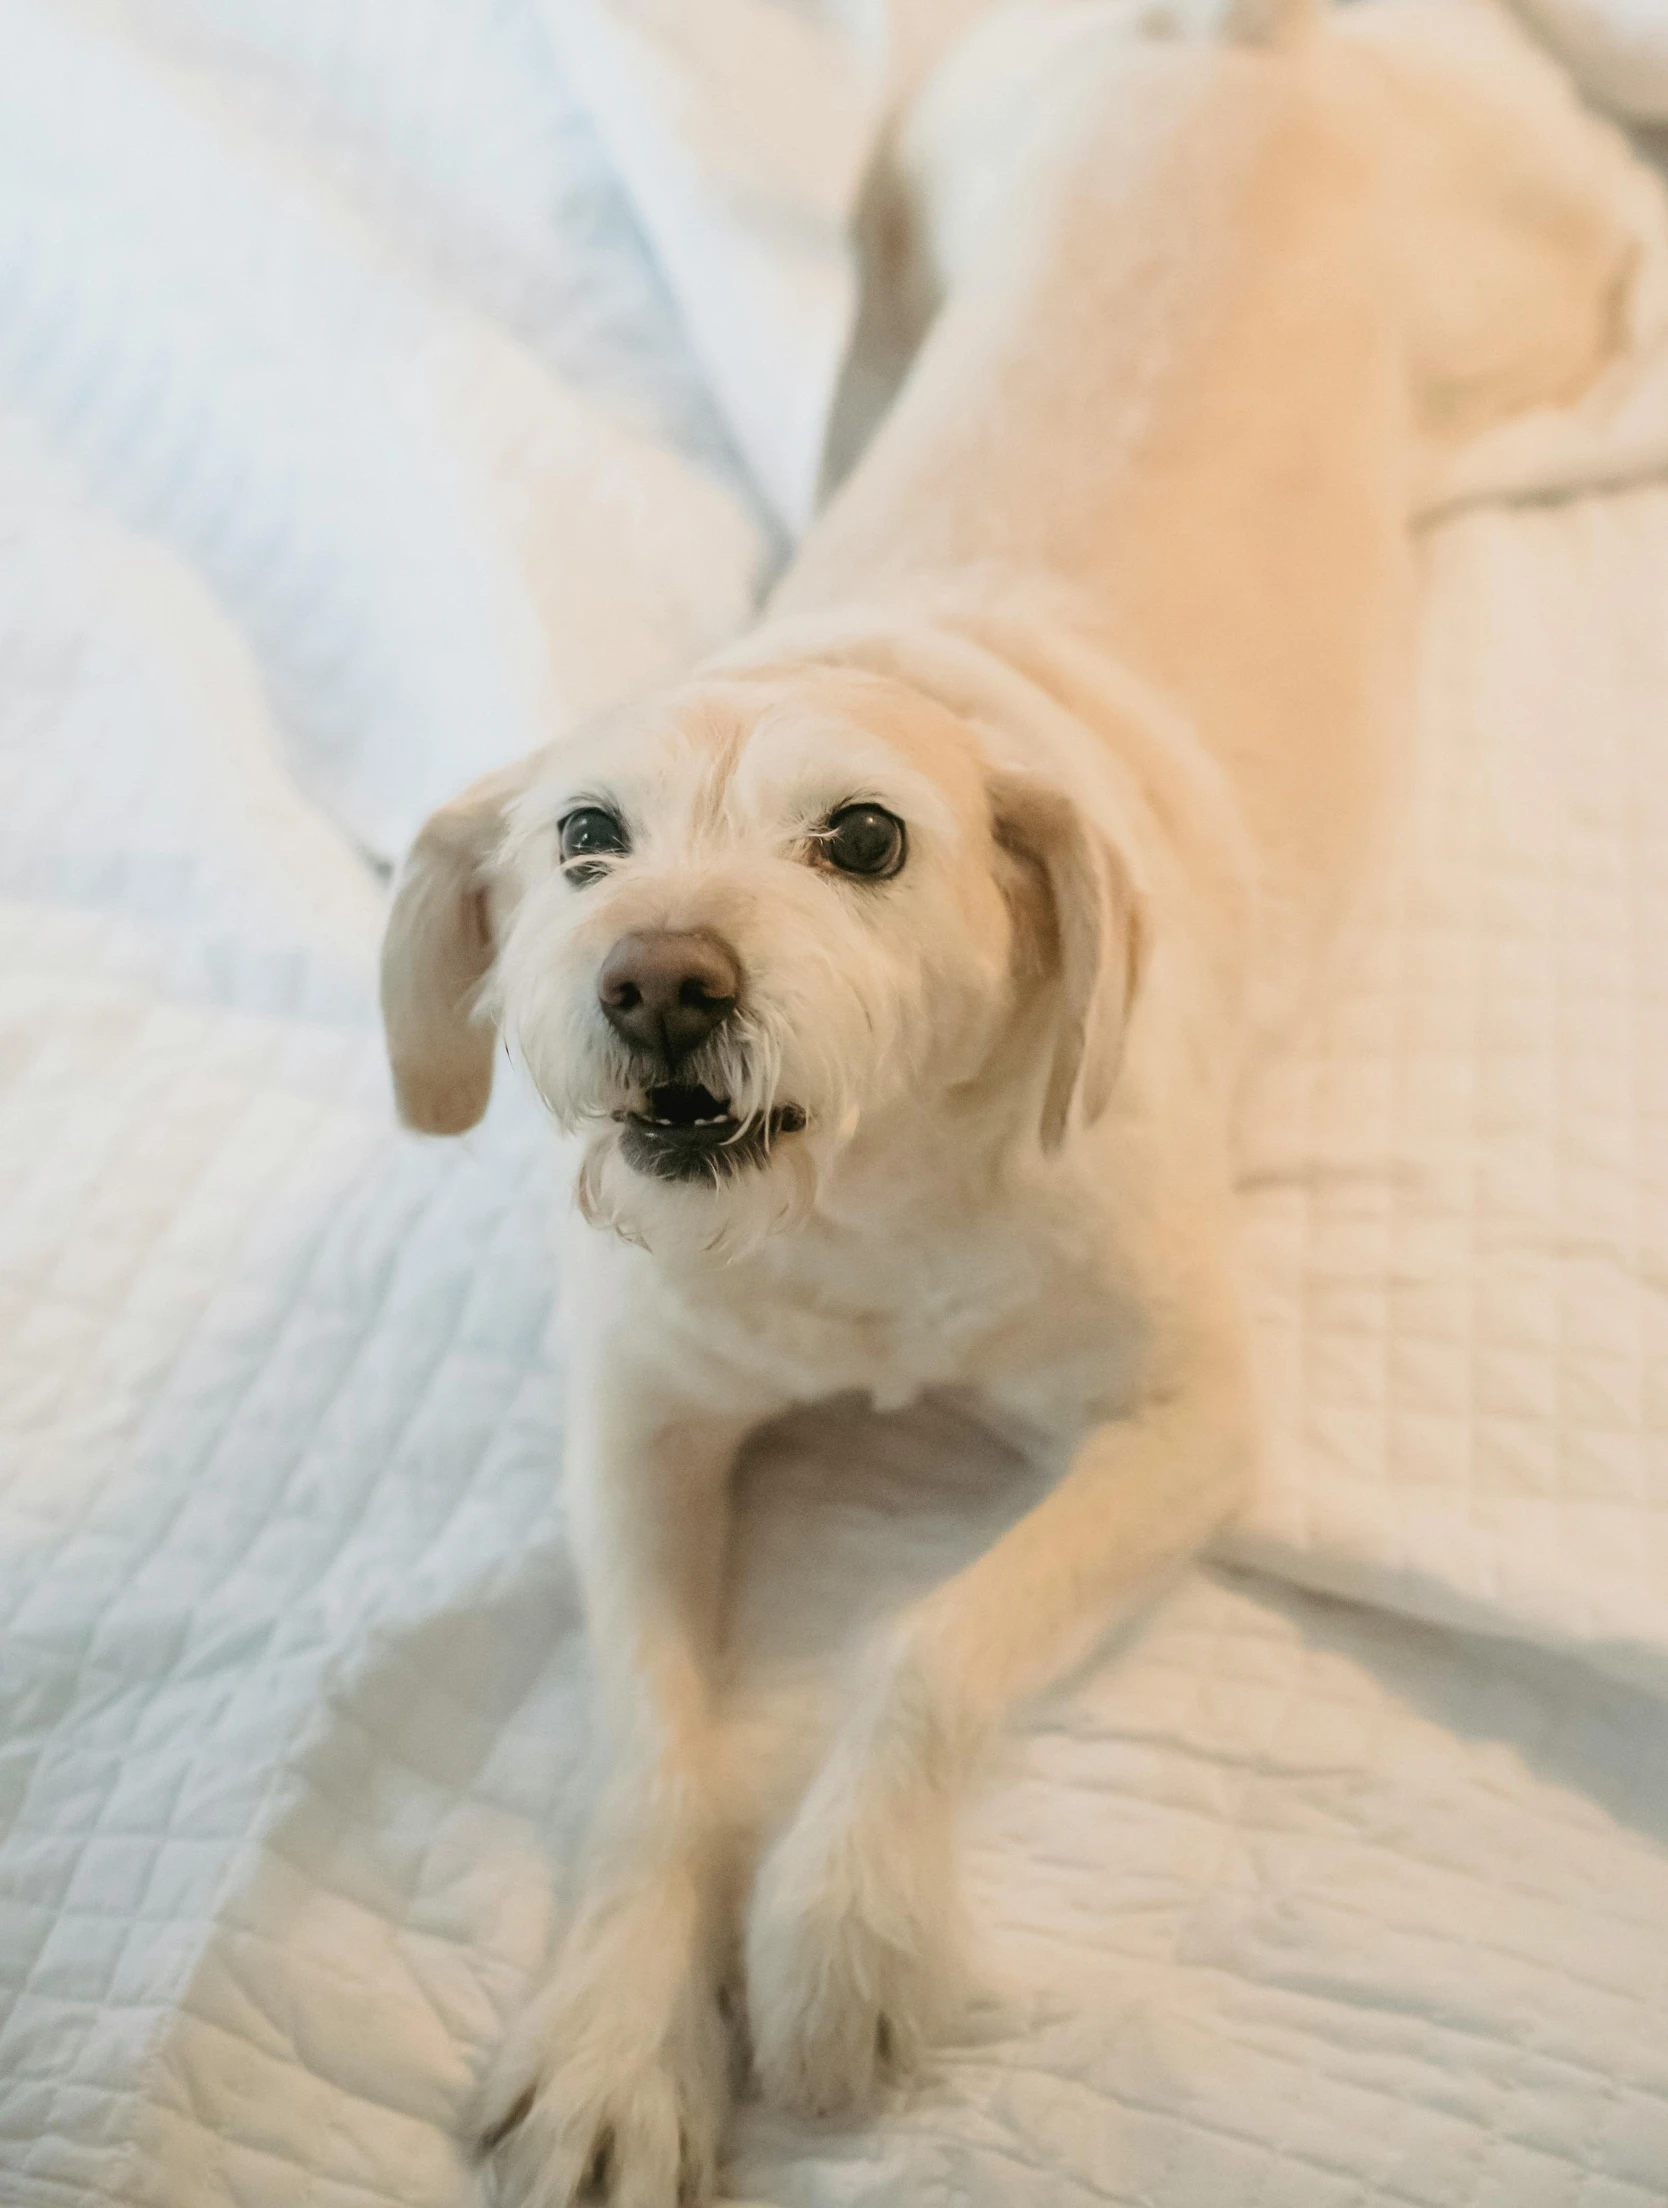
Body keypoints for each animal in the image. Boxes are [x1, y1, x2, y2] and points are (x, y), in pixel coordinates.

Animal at [377, 8, 1643, 2199]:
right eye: (583, 841)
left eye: (866, 838)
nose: (658, 980)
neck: (860, 1217)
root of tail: (1242, 33)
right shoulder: (634, 1428)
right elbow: (649, 1734)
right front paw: (624, 2028)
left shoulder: (1188, 1429)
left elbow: (921, 1645)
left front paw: (833, 1944)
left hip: (1529, 307)